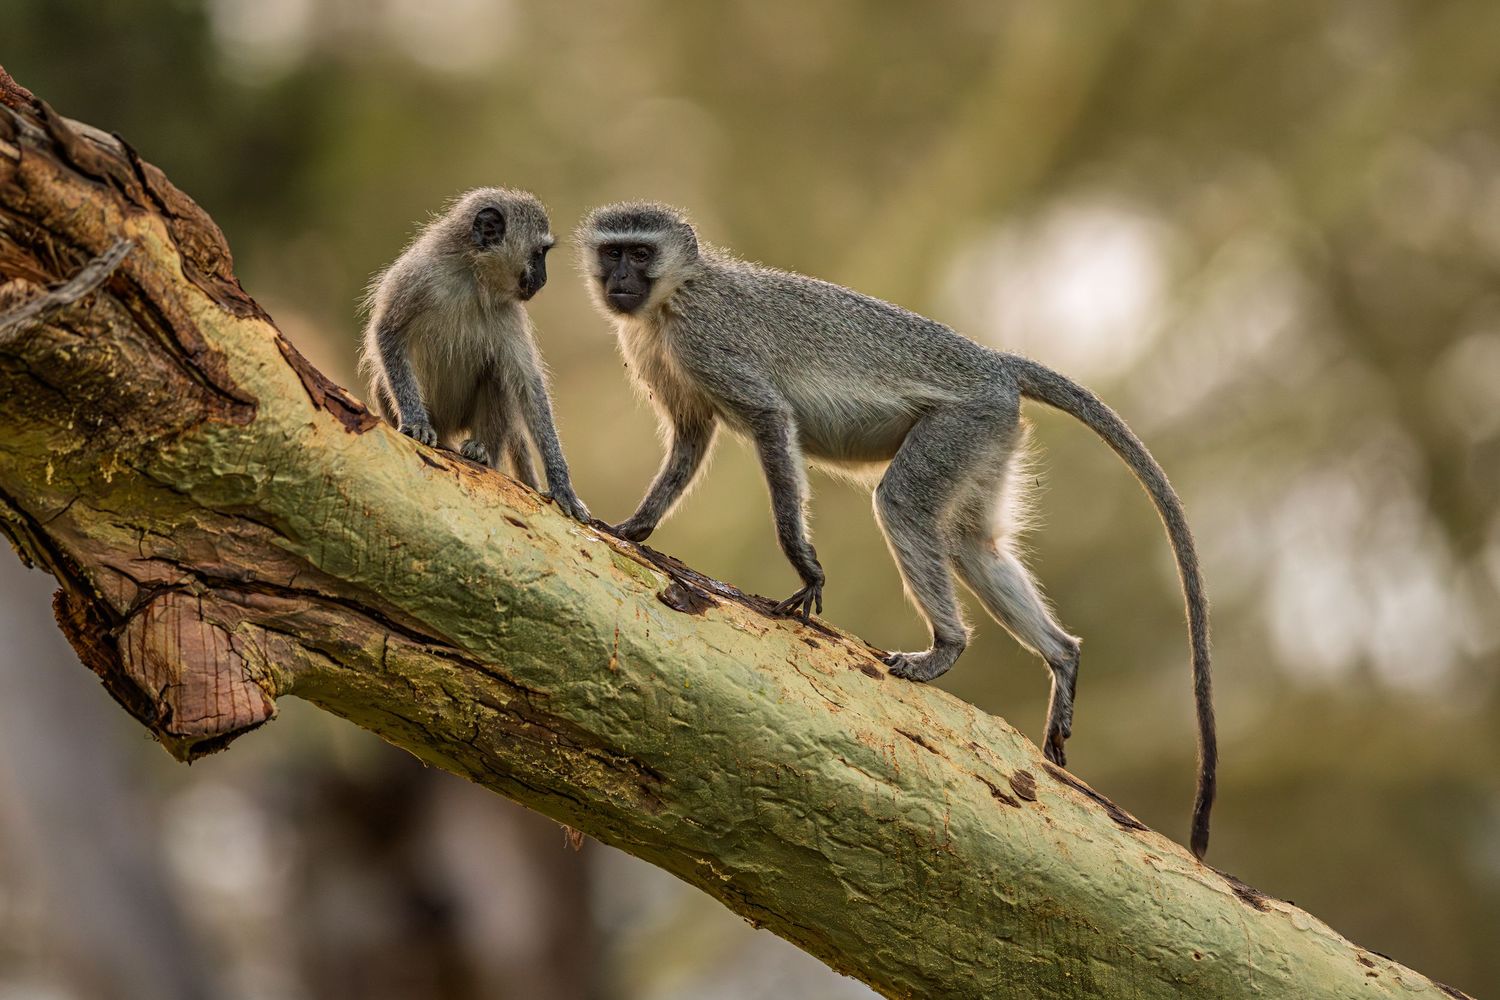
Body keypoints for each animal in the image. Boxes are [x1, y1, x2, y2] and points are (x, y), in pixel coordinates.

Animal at [359, 187, 590, 523]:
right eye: (538, 254)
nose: (543, 280)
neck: (472, 275)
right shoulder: (417, 275)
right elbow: (387, 332)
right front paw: (415, 420)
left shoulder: (509, 312)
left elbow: (527, 385)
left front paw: (562, 486)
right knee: (382, 381)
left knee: (499, 375)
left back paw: (483, 451)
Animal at [575, 202, 1216, 858]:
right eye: (612, 252)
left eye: (640, 253)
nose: (618, 280)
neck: (671, 299)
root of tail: (995, 362)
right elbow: (689, 440)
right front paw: (633, 527)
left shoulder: (708, 342)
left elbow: (770, 419)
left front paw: (805, 565)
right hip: (988, 438)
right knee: (971, 544)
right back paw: (1062, 659)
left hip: (962, 424)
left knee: (903, 504)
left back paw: (947, 647)